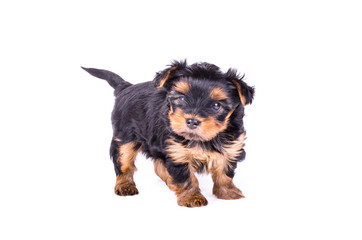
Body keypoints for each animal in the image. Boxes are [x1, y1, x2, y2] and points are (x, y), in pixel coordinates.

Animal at [81, 59, 255, 206]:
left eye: (216, 106)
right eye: (182, 98)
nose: (192, 121)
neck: (205, 138)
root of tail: (127, 87)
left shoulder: (231, 146)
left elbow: (225, 172)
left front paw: (227, 192)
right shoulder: (177, 151)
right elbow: (186, 177)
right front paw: (192, 197)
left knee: (158, 165)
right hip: (125, 136)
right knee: (123, 161)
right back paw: (125, 185)